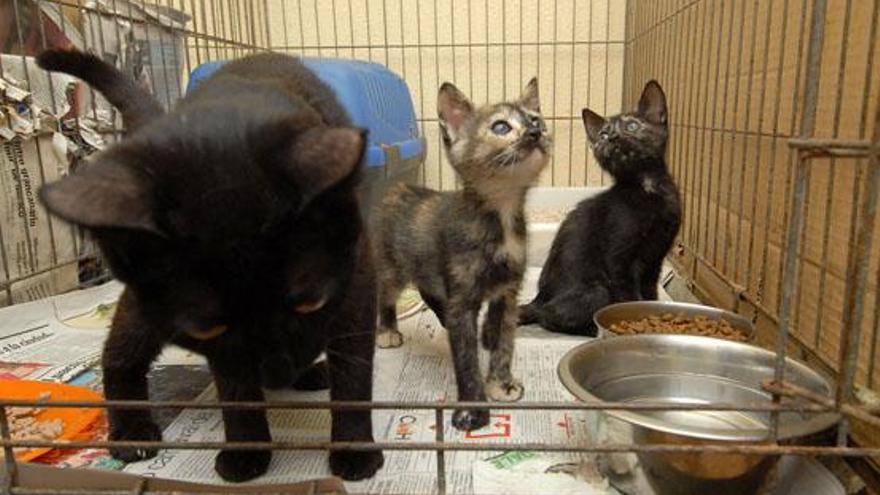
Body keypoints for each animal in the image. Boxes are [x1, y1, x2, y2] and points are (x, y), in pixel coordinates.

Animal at [36, 50, 384, 484]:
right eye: (207, 328)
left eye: (310, 304)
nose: (277, 371)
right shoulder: (219, 346)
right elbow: (235, 390)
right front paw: (246, 452)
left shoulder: (358, 283)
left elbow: (354, 374)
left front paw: (354, 450)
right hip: (143, 309)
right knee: (119, 353)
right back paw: (131, 430)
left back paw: (309, 375)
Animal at [372, 78, 552, 430]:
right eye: (500, 127)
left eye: (536, 120)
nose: (535, 133)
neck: (501, 217)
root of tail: (397, 188)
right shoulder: (463, 297)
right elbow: (465, 359)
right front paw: (473, 408)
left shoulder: (507, 292)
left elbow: (504, 342)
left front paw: (501, 382)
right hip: (391, 268)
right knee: (385, 295)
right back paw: (387, 331)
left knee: (429, 292)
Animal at [520, 81, 684, 338]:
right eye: (603, 134)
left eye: (632, 125)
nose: (612, 137)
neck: (647, 189)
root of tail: (539, 298)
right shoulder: (619, 259)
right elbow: (628, 296)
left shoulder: (655, 258)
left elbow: (649, 294)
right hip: (597, 290)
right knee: (547, 317)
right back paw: (590, 330)